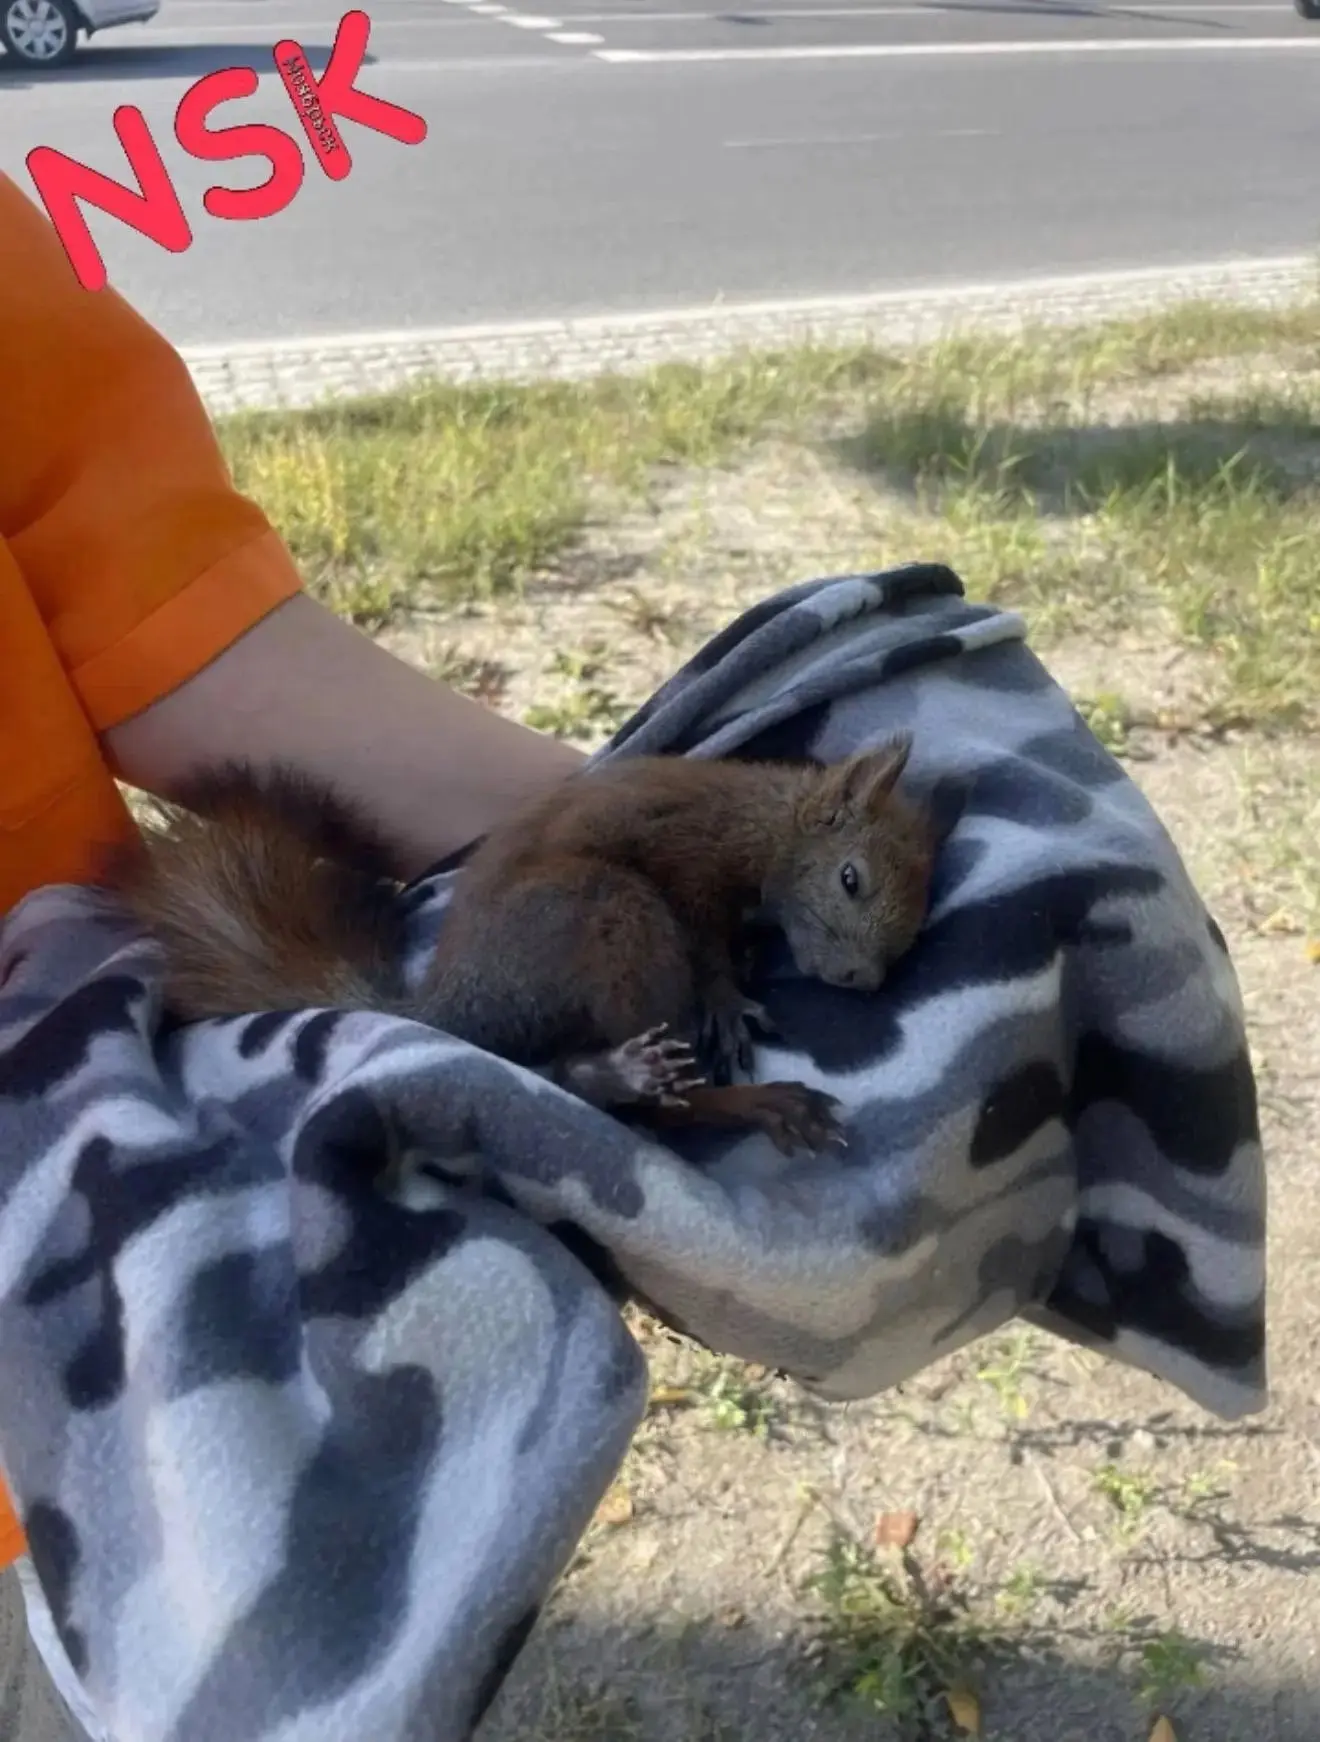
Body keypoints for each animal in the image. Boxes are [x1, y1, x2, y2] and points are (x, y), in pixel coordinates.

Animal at [107, 736, 936, 1156]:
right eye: (852, 879)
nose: (861, 979)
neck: (767, 823)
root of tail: (453, 1005)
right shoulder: (690, 861)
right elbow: (707, 946)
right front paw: (729, 1000)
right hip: (607, 910)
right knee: (669, 1109)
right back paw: (742, 1099)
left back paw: (609, 1075)